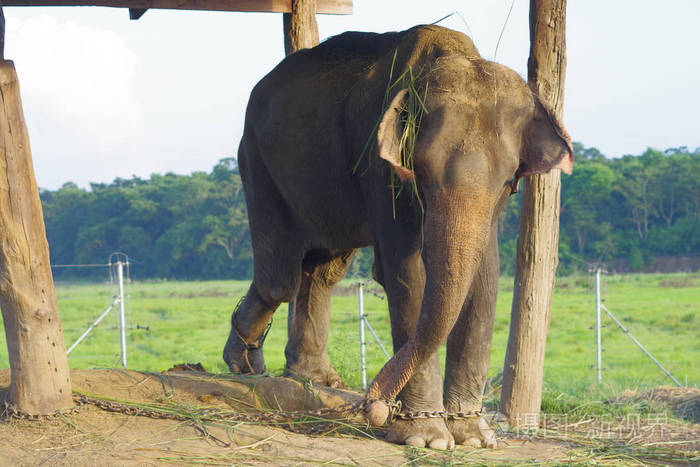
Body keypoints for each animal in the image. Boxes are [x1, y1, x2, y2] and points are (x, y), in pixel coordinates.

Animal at [221, 24, 572, 450]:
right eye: (419, 170)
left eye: (508, 180)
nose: (372, 406)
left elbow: (485, 279)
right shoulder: (378, 165)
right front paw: (427, 438)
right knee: (279, 279)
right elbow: (406, 272)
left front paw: (473, 437)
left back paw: (305, 376)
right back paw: (244, 364)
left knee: (320, 273)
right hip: (256, 161)